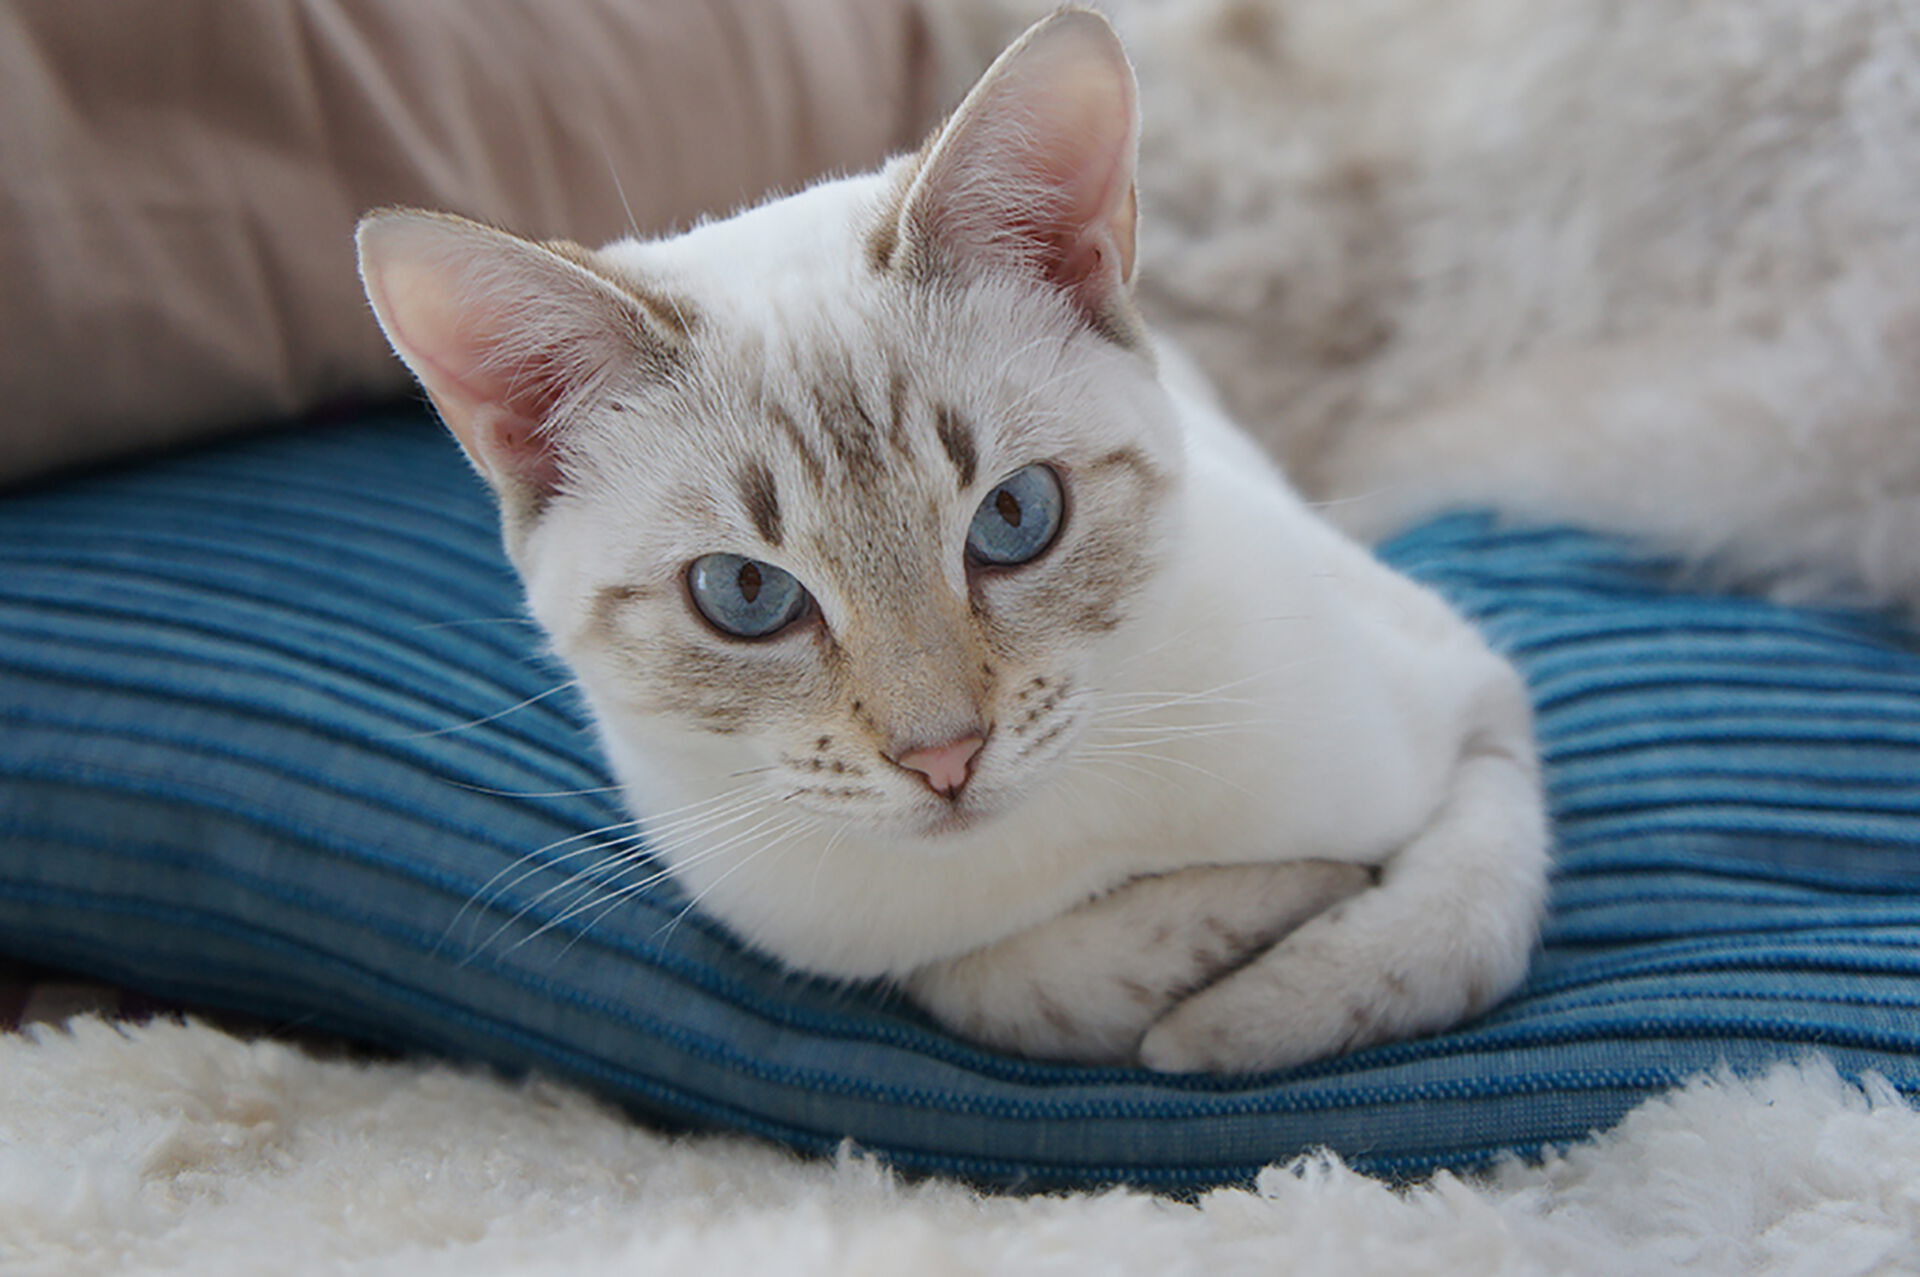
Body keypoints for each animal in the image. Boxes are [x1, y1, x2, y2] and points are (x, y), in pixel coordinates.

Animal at [353, 9, 1551, 1067]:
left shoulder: (1481, 701)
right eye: (744, 593)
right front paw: (1228, 936)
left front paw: (1237, 1012)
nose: (945, 758)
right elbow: (1017, 983)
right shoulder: (851, 938)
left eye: (1015, 518)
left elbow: (1443, 927)